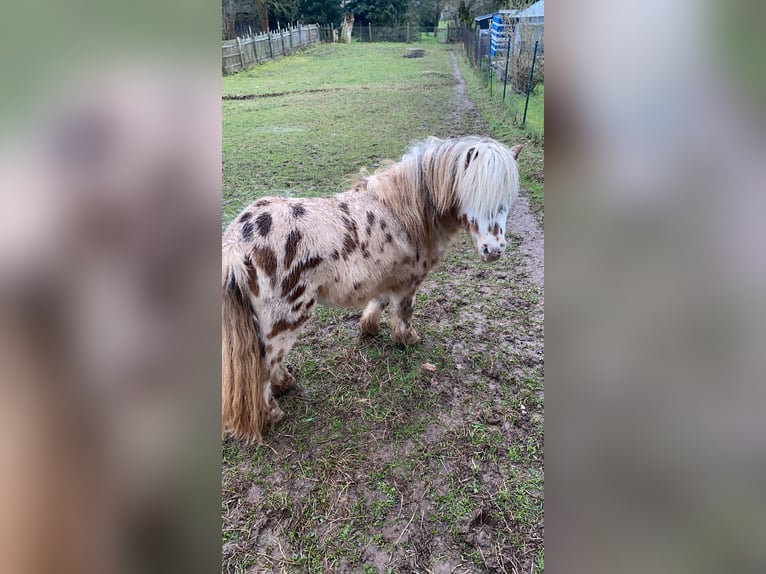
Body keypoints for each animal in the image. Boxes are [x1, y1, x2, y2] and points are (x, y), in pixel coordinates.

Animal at [222, 136, 520, 446]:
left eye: (507, 200)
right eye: (473, 192)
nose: (494, 250)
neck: (405, 211)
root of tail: (236, 242)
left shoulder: (387, 274)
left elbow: (379, 301)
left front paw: (369, 327)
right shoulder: (409, 281)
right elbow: (403, 312)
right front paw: (406, 339)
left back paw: (286, 385)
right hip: (285, 320)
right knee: (263, 370)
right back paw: (273, 413)